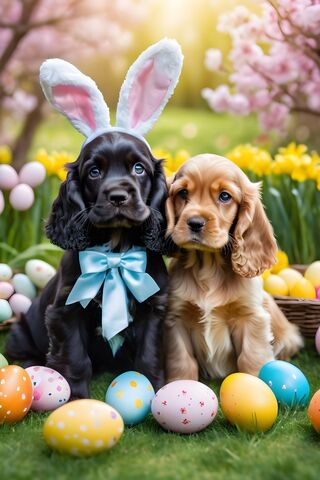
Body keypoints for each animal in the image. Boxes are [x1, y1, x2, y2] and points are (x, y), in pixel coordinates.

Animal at [6, 132, 169, 398]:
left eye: (139, 168)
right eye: (94, 172)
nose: (118, 197)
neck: (115, 251)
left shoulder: (154, 311)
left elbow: (149, 356)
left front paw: (155, 392)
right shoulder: (65, 311)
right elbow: (76, 358)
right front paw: (76, 398)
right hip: (20, 331)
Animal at [165, 155, 302, 382]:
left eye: (224, 196)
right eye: (183, 192)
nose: (195, 222)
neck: (208, 266)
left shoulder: (251, 317)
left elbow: (251, 357)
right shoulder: (176, 318)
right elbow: (182, 360)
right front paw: (178, 384)